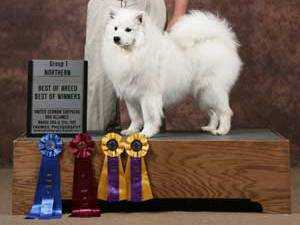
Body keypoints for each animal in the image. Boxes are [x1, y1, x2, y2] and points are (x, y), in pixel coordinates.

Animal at [102, 7, 243, 137]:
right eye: (115, 28)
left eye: (128, 29)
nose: (116, 38)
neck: (133, 53)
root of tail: (221, 41)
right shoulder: (130, 96)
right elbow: (135, 117)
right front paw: (131, 131)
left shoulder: (148, 95)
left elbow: (149, 117)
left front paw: (146, 133)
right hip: (203, 94)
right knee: (213, 112)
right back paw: (210, 127)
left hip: (212, 89)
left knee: (225, 111)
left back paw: (222, 130)